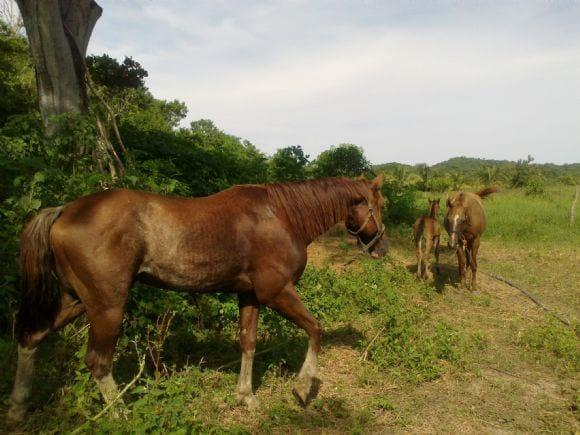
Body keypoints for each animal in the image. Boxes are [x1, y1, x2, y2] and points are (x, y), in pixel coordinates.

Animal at [6, 175, 388, 424]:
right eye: (378, 205)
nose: (381, 248)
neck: (280, 216)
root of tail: (64, 210)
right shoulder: (276, 291)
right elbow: (315, 329)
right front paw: (302, 387)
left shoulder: (250, 295)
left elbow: (248, 343)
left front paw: (246, 397)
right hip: (107, 306)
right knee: (97, 362)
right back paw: (121, 414)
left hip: (75, 300)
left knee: (31, 337)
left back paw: (17, 407)